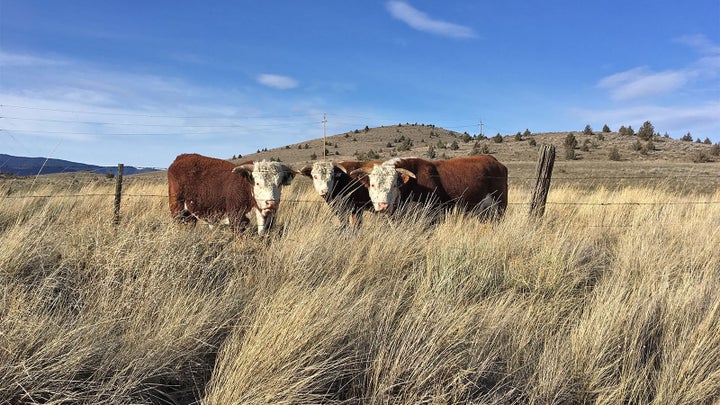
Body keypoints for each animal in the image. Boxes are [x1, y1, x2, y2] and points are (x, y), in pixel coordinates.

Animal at [168, 153, 296, 235]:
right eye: (258, 183)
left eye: (279, 184)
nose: (271, 203)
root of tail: (181, 157)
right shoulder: (236, 220)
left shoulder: (269, 221)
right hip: (177, 209)